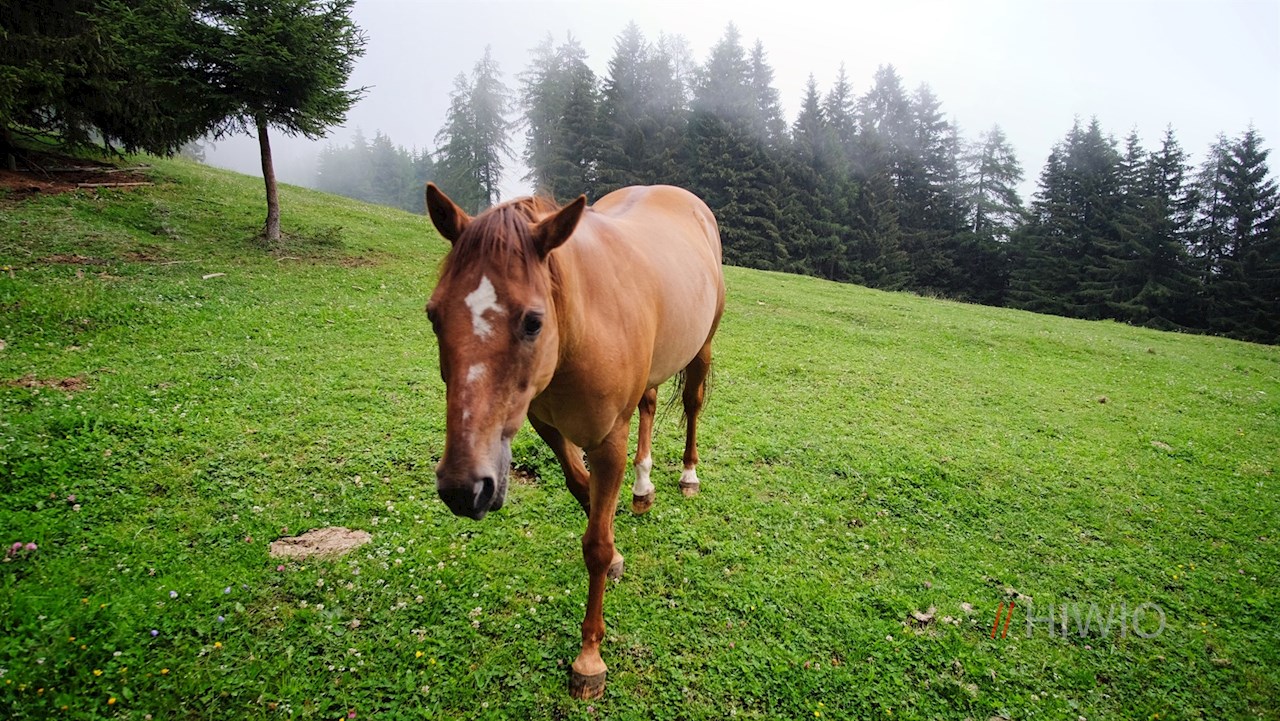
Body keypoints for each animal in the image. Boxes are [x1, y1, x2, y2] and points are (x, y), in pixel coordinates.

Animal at [423, 182, 725, 699]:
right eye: (433, 315)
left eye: (532, 321)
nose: (464, 488)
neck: (581, 328)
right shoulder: (546, 426)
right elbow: (583, 492)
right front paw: (619, 553)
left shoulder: (608, 441)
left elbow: (596, 545)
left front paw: (589, 659)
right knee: (648, 404)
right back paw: (643, 489)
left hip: (701, 348)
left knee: (692, 403)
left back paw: (688, 474)